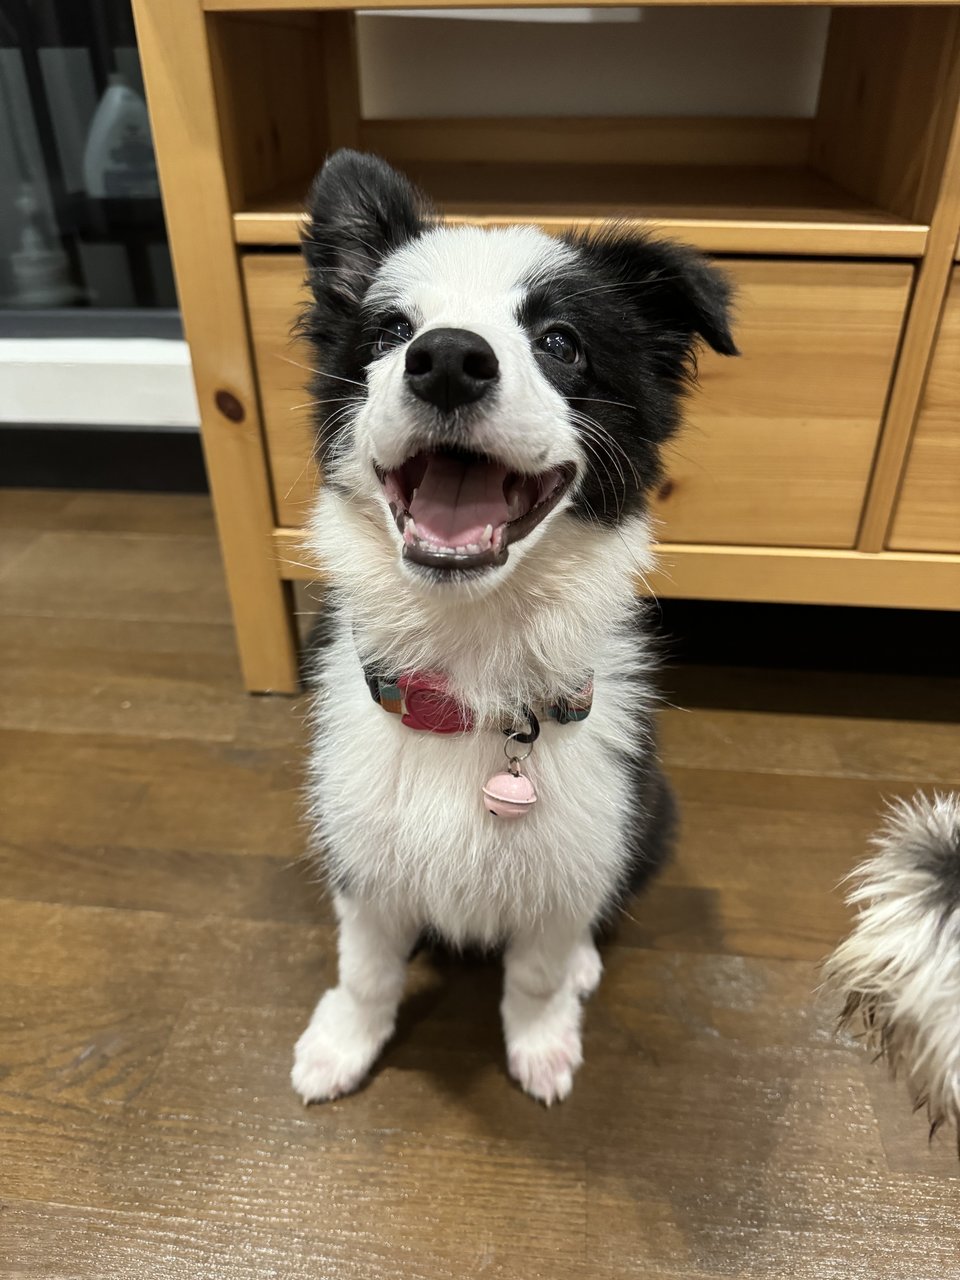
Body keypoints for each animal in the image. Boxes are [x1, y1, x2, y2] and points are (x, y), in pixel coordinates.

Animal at [291, 149, 737, 1105]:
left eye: (562, 342)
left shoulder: (582, 834)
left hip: (650, 815)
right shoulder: (358, 837)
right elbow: (366, 965)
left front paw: (541, 1041)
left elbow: (535, 964)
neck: (471, 653)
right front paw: (343, 1043)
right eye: (390, 330)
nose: (447, 361)